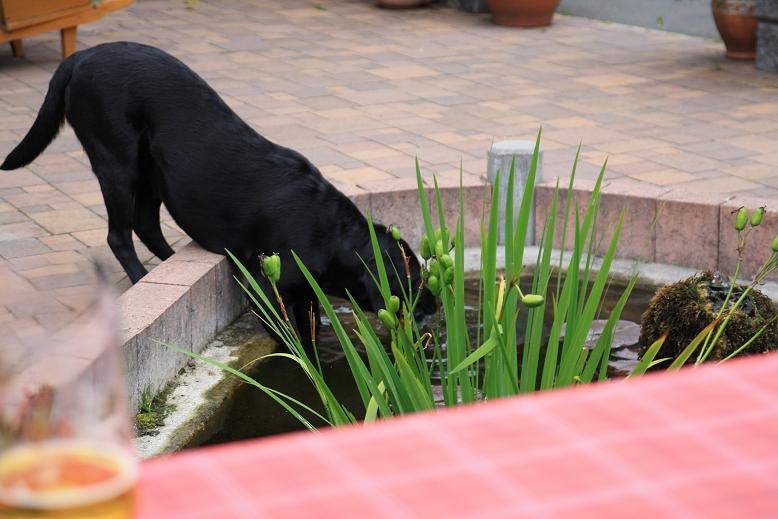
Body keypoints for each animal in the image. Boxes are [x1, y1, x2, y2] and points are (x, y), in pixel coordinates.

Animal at [3, 42, 434, 344]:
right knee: (119, 235)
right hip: (117, 161)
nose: (433, 307)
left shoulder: (307, 295)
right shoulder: (267, 290)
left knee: (145, 224)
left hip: (152, 170)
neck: (331, 234)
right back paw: (141, 277)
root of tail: (81, 56)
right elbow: (294, 346)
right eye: (412, 283)